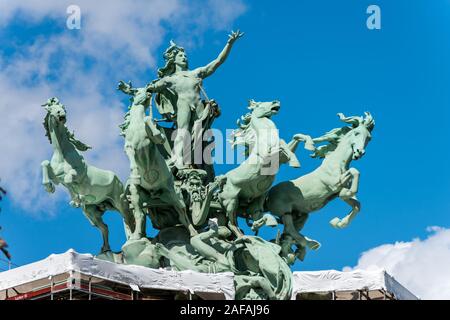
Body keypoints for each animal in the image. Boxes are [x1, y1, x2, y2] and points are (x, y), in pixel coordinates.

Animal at [40, 97, 134, 252]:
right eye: (51, 107)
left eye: (63, 107)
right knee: (104, 227)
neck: (62, 153)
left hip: (120, 202)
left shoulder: (77, 174)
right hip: (92, 213)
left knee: (128, 220)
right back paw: (105, 249)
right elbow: (45, 164)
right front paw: (49, 187)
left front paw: (77, 198)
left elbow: (69, 178)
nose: (62, 115)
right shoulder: (57, 177)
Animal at [266, 112, 374, 255]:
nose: (359, 152)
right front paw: (348, 193)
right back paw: (311, 244)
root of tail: (267, 196)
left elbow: (357, 205)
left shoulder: (336, 191)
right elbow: (355, 171)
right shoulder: (335, 183)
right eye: (356, 133)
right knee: (289, 229)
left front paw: (338, 223)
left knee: (288, 232)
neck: (336, 163)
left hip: (301, 214)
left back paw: (309, 243)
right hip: (285, 211)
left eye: (369, 138)